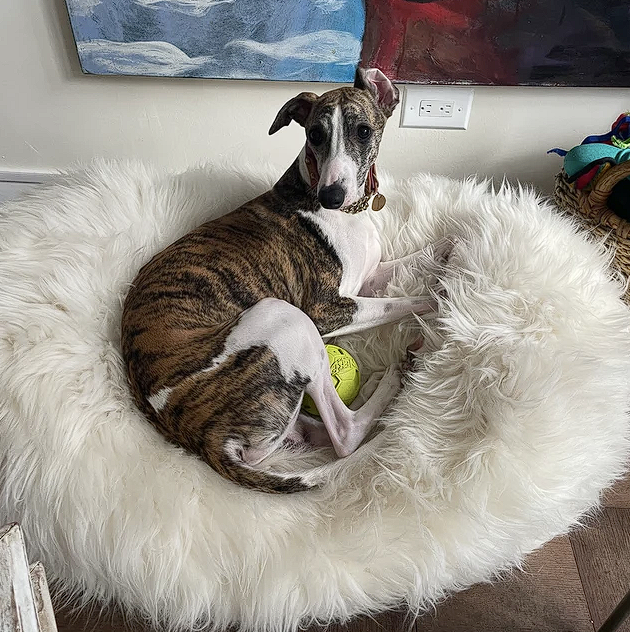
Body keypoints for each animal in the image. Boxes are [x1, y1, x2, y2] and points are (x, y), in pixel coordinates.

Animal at [121, 68, 447, 494]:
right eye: (315, 135)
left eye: (362, 131)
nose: (330, 196)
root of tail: (201, 437)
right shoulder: (325, 309)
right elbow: (407, 301)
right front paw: (441, 300)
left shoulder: (369, 278)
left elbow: (417, 260)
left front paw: (455, 249)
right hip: (286, 318)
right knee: (345, 435)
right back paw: (394, 378)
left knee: (316, 434)